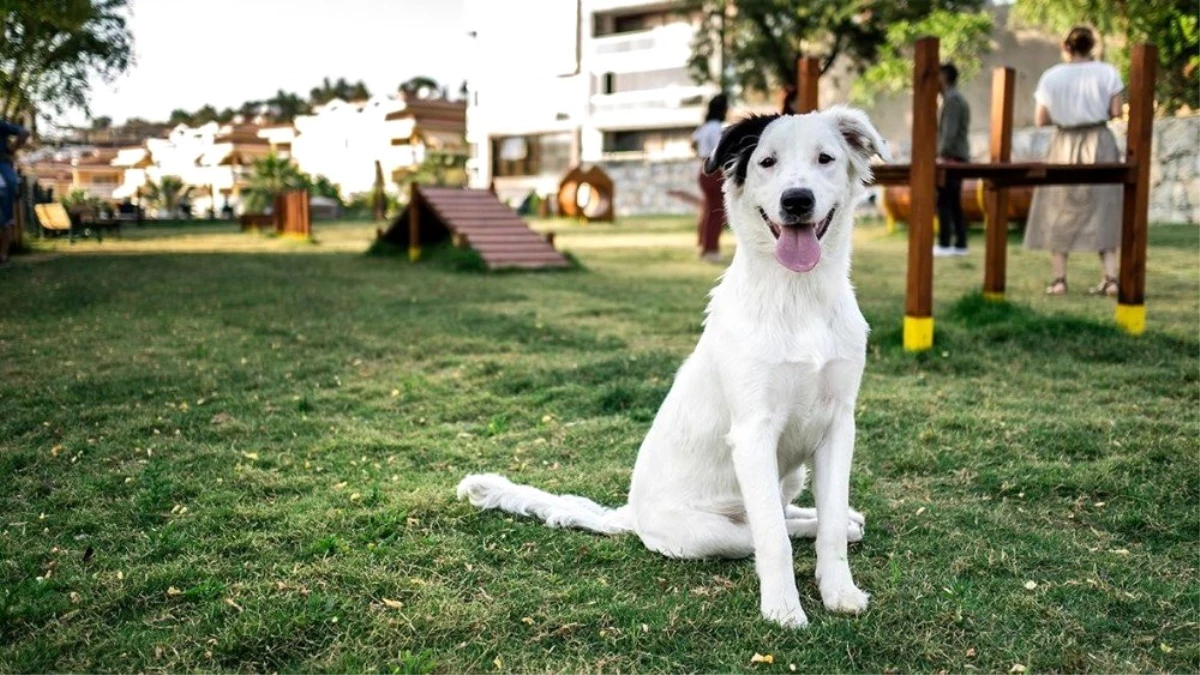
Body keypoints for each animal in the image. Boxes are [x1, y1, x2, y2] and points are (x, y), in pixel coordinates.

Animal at [458, 106, 892, 624]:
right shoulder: (753, 433)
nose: (796, 201)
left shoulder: (839, 425)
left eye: (825, 158)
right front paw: (784, 609)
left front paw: (840, 591)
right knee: (763, 529)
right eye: (767, 162)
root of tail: (631, 515)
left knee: (799, 517)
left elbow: (826, 521)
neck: (798, 296)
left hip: (790, 475)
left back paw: (845, 523)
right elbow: (773, 539)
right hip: (714, 530)